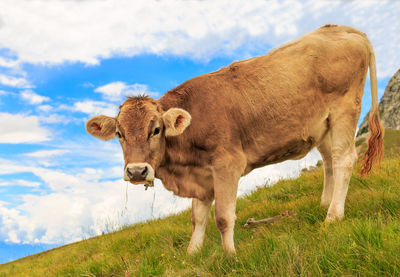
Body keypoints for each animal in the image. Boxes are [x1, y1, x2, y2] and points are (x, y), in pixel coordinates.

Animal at [86, 24, 382, 253]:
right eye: (119, 134)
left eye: (156, 129)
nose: (137, 171)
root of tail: (340, 28)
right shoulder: (202, 175)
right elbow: (197, 218)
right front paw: (192, 254)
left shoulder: (227, 165)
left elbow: (222, 217)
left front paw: (230, 254)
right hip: (323, 125)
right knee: (330, 161)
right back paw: (324, 204)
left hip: (345, 109)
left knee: (344, 159)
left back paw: (333, 216)